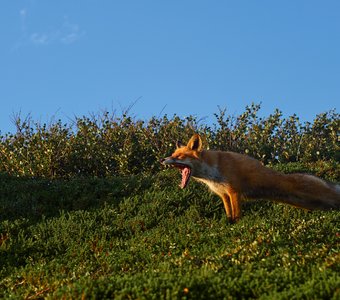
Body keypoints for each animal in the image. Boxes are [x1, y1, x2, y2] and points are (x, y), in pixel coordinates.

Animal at [160, 135, 340, 221]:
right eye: (172, 154)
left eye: (179, 156)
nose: (162, 160)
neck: (212, 172)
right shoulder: (224, 195)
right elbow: (229, 216)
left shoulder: (234, 192)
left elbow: (237, 215)